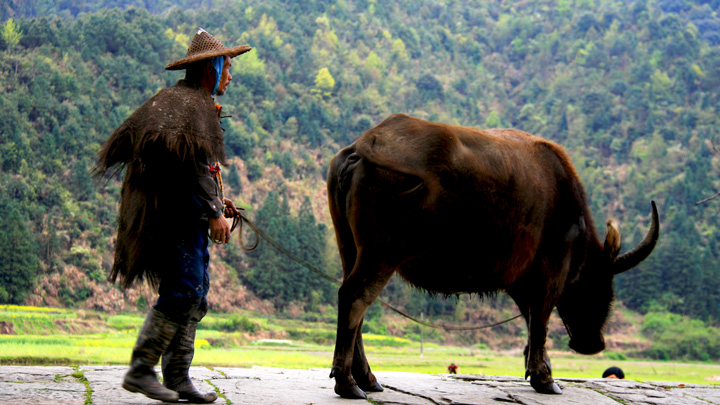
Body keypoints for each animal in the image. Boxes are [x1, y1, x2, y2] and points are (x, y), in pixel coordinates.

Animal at [326, 112, 660, 396]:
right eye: (599, 283)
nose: (593, 342)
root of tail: (360, 147)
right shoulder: (550, 272)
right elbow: (540, 320)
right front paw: (545, 379)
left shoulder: (520, 281)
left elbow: (531, 323)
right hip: (380, 253)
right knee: (356, 298)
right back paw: (348, 383)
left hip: (350, 247)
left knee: (352, 302)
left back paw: (367, 379)